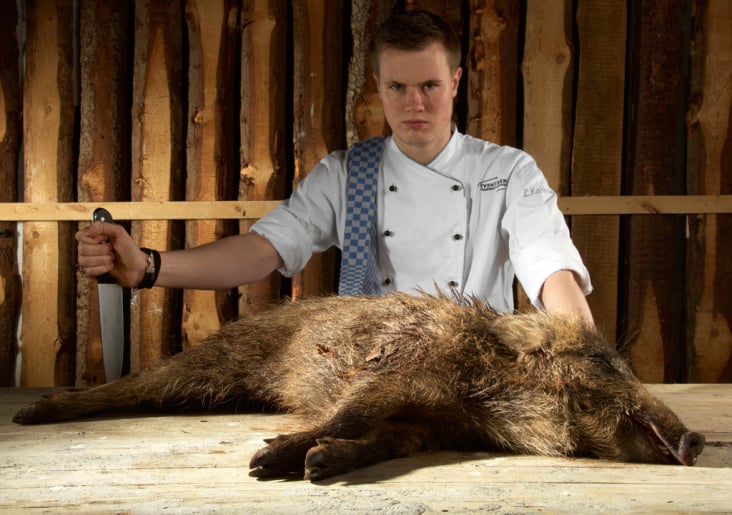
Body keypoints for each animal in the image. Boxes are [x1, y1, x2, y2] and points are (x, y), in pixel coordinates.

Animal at [13, 291, 704, 481]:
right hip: (212, 365)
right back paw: (32, 416)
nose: (697, 440)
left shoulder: (424, 426)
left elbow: (380, 441)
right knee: (134, 387)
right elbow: (350, 415)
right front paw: (266, 462)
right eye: (605, 362)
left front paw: (317, 466)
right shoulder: (397, 374)